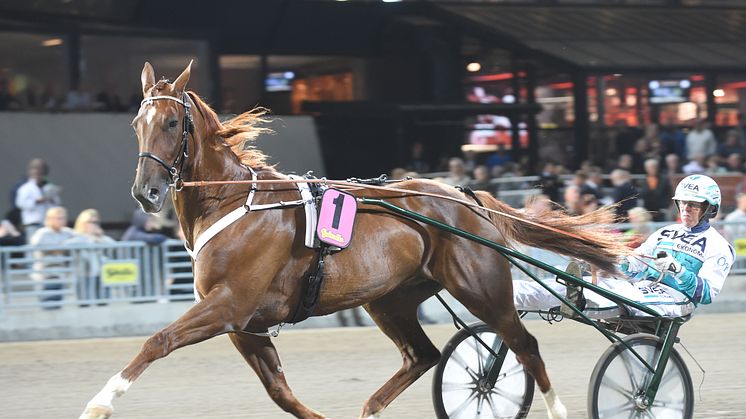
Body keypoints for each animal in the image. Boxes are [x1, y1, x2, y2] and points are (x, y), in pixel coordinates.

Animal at [78, 62, 624, 419]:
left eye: (172, 122)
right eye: (137, 124)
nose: (146, 192)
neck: (233, 202)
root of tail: (466, 196)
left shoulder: (230, 305)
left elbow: (158, 340)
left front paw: (100, 403)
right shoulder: (245, 324)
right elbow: (280, 392)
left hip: (482, 289)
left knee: (524, 345)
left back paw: (558, 409)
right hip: (390, 299)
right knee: (424, 356)